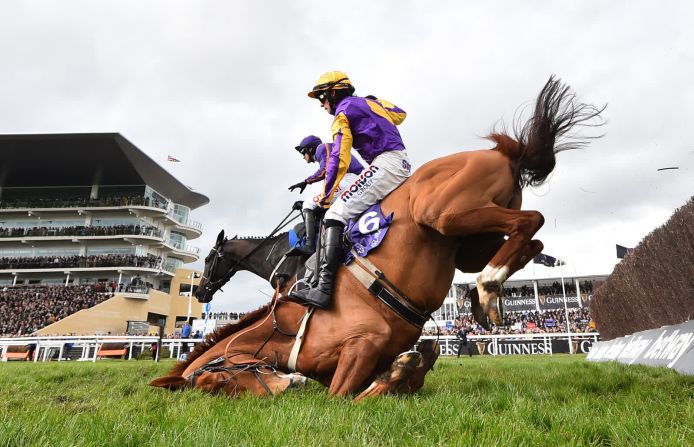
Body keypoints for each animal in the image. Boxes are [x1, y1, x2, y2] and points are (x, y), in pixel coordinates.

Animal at [152, 76, 604, 400]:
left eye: (209, 260)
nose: (202, 292)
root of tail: (503, 152)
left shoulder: (354, 346)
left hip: (445, 214)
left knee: (532, 220)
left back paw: (489, 287)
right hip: (469, 241)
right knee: (529, 241)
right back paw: (483, 299)